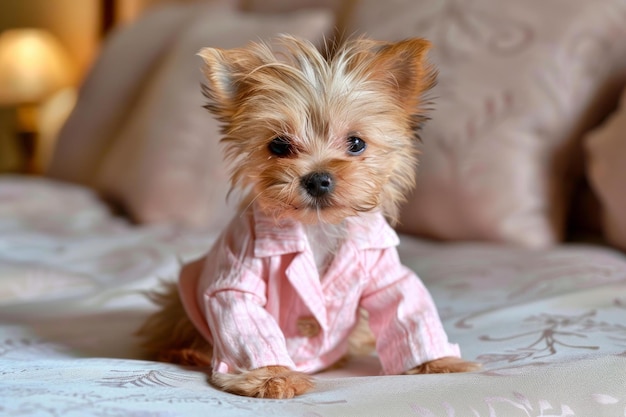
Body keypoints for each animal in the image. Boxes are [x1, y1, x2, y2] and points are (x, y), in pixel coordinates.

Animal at [138, 35, 478, 400]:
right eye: (279, 145)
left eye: (356, 143)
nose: (317, 178)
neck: (317, 229)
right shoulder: (236, 273)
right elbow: (244, 319)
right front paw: (272, 377)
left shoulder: (384, 270)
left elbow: (406, 305)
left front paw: (439, 362)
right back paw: (187, 351)